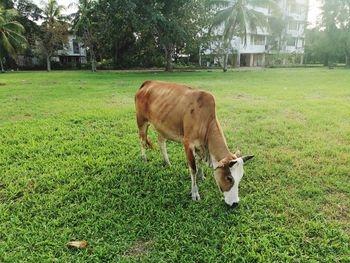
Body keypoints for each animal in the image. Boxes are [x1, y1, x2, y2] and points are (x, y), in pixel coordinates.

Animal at [135, 80, 254, 208]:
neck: (205, 120)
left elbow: (199, 161)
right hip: (141, 121)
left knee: (161, 142)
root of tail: (148, 83)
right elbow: (193, 169)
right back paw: (144, 159)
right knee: (142, 141)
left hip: (161, 126)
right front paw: (195, 193)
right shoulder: (188, 144)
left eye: (240, 177)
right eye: (229, 178)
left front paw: (202, 176)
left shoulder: (200, 146)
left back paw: (167, 163)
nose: (235, 203)